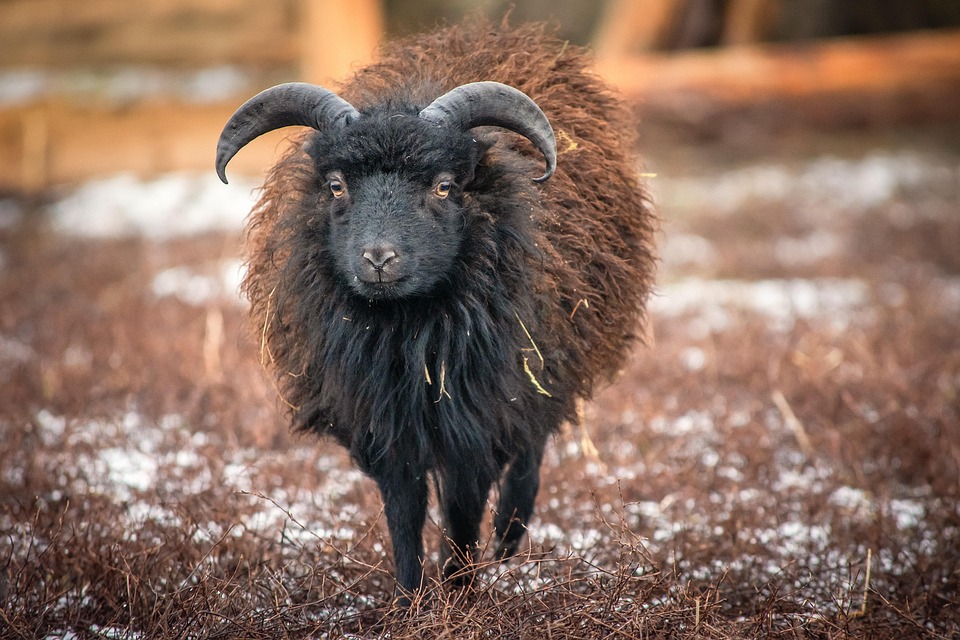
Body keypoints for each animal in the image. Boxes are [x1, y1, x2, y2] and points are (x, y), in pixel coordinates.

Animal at [216, 21, 657, 603]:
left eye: (444, 185)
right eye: (336, 184)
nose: (379, 258)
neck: (410, 336)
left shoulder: (477, 418)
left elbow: (464, 515)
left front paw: (461, 596)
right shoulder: (385, 426)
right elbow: (404, 516)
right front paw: (410, 601)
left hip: (547, 367)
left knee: (531, 452)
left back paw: (509, 538)